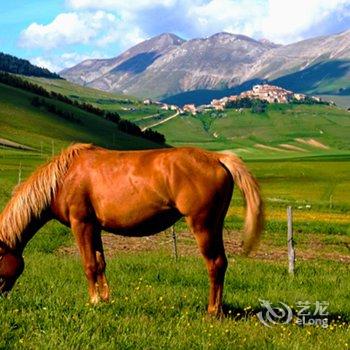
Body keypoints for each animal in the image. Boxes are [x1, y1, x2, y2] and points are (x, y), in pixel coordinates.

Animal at [0, 144, 262, 314]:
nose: (2, 299)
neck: (64, 177)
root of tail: (217, 157)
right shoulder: (94, 227)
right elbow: (100, 263)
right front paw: (106, 299)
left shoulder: (81, 224)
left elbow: (89, 265)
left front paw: (94, 301)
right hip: (214, 225)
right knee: (222, 263)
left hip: (203, 225)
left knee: (215, 264)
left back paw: (212, 311)